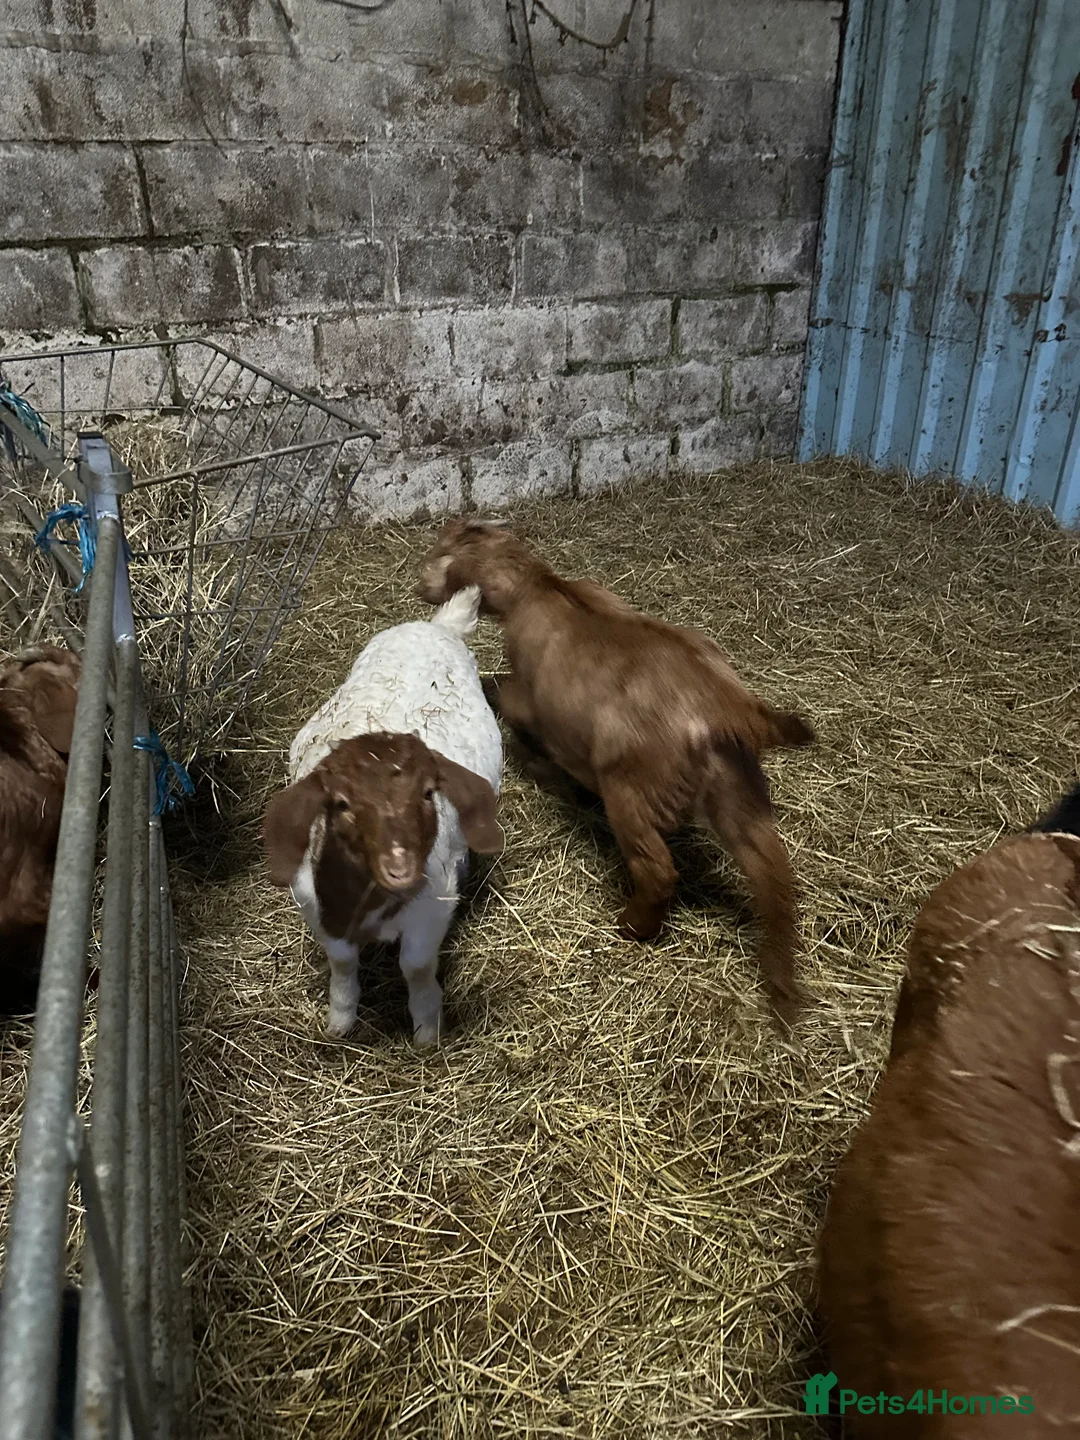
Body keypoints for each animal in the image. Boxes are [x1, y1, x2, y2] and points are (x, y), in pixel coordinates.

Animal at [262, 587, 503, 1047]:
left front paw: (427, 1027)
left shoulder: (432, 908)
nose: (399, 866)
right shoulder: (315, 904)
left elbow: (417, 967)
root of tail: (433, 626)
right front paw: (340, 1020)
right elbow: (341, 962)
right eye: (342, 803)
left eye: (427, 793)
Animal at [417, 518, 814, 1024]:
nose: (418, 582)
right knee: (774, 876)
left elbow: (512, 707)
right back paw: (783, 991)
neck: (540, 587)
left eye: (438, 552)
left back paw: (631, 927)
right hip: (739, 790)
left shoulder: (534, 701)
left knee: (658, 869)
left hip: (631, 792)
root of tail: (720, 710)